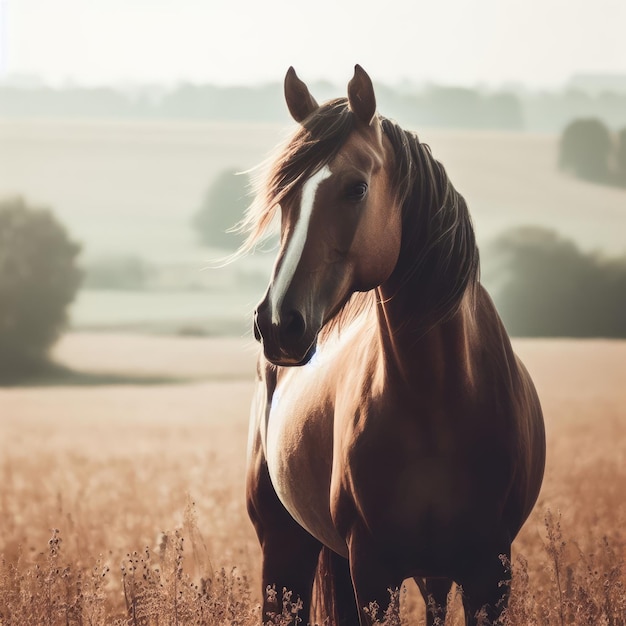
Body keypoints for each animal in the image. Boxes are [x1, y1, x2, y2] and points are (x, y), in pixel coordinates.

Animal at [241, 64, 544, 624]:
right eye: (284, 195)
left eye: (356, 188)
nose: (277, 324)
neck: (436, 396)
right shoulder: (373, 571)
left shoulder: (489, 575)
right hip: (286, 550)